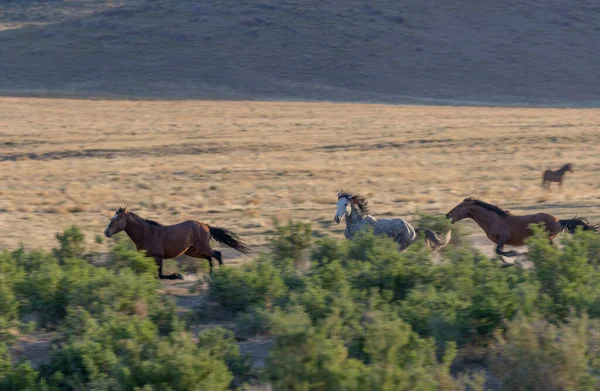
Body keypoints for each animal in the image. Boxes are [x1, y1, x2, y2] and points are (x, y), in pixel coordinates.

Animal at [104, 207, 250, 280]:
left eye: (118, 219)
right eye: (112, 218)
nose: (106, 232)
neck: (146, 233)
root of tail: (205, 225)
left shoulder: (158, 257)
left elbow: (160, 275)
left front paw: (178, 275)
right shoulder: (146, 258)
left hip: (202, 247)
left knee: (217, 254)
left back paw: (222, 273)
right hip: (192, 251)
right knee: (209, 257)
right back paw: (211, 274)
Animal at [442, 199, 596, 266]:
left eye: (460, 206)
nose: (447, 215)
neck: (494, 219)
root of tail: (558, 220)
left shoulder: (503, 239)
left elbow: (498, 251)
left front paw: (514, 255)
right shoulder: (499, 241)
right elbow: (497, 253)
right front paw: (506, 262)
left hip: (546, 238)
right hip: (549, 239)